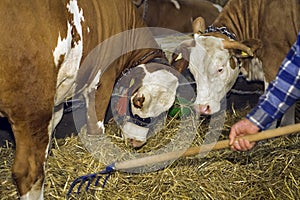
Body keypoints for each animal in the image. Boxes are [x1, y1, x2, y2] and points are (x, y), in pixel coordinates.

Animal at [0, 0, 180, 198]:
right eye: (138, 100)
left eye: (163, 112)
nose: (137, 142)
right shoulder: (102, 81)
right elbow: (96, 127)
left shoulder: (57, 95)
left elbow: (54, 123)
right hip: (32, 106)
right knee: (28, 172)